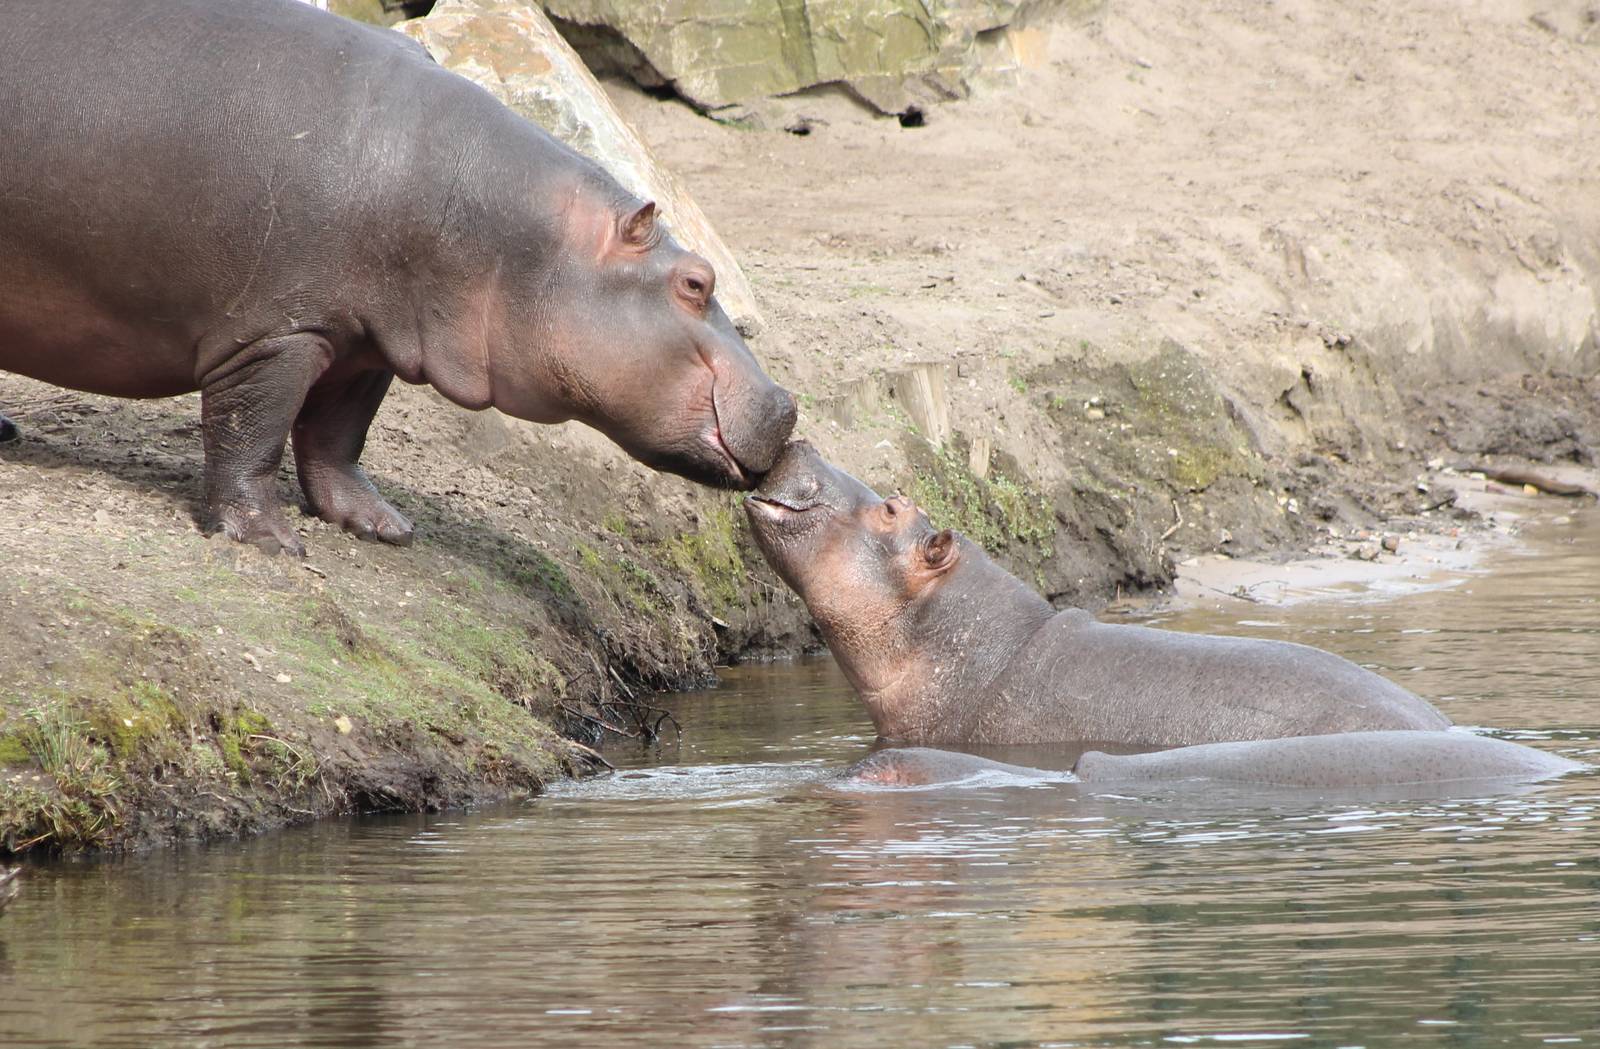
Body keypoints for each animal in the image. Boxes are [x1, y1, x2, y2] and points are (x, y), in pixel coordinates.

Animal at [0, 0, 795, 554]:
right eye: (695, 283)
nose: (789, 404)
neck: (500, 230)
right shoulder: (277, 334)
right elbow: (251, 432)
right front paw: (268, 540)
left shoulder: (365, 341)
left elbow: (336, 436)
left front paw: (384, 527)